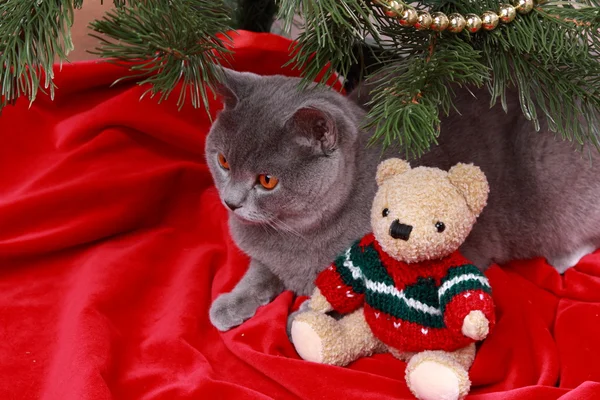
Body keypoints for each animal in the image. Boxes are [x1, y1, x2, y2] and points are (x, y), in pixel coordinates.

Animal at [205, 69, 600, 332]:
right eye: (223, 161)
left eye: (266, 181)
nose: (230, 202)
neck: (297, 234)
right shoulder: (269, 257)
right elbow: (258, 272)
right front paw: (229, 305)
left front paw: (301, 319)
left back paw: (561, 259)